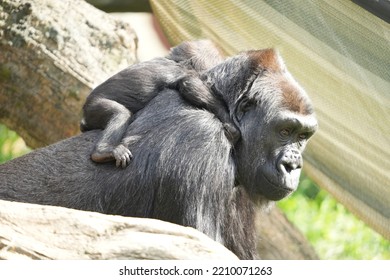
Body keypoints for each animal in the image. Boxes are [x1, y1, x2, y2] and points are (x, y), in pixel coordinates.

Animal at [80, 40, 239, 167]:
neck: (178, 61)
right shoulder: (186, 73)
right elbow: (190, 86)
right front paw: (231, 125)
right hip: (93, 107)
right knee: (120, 114)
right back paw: (102, 152)